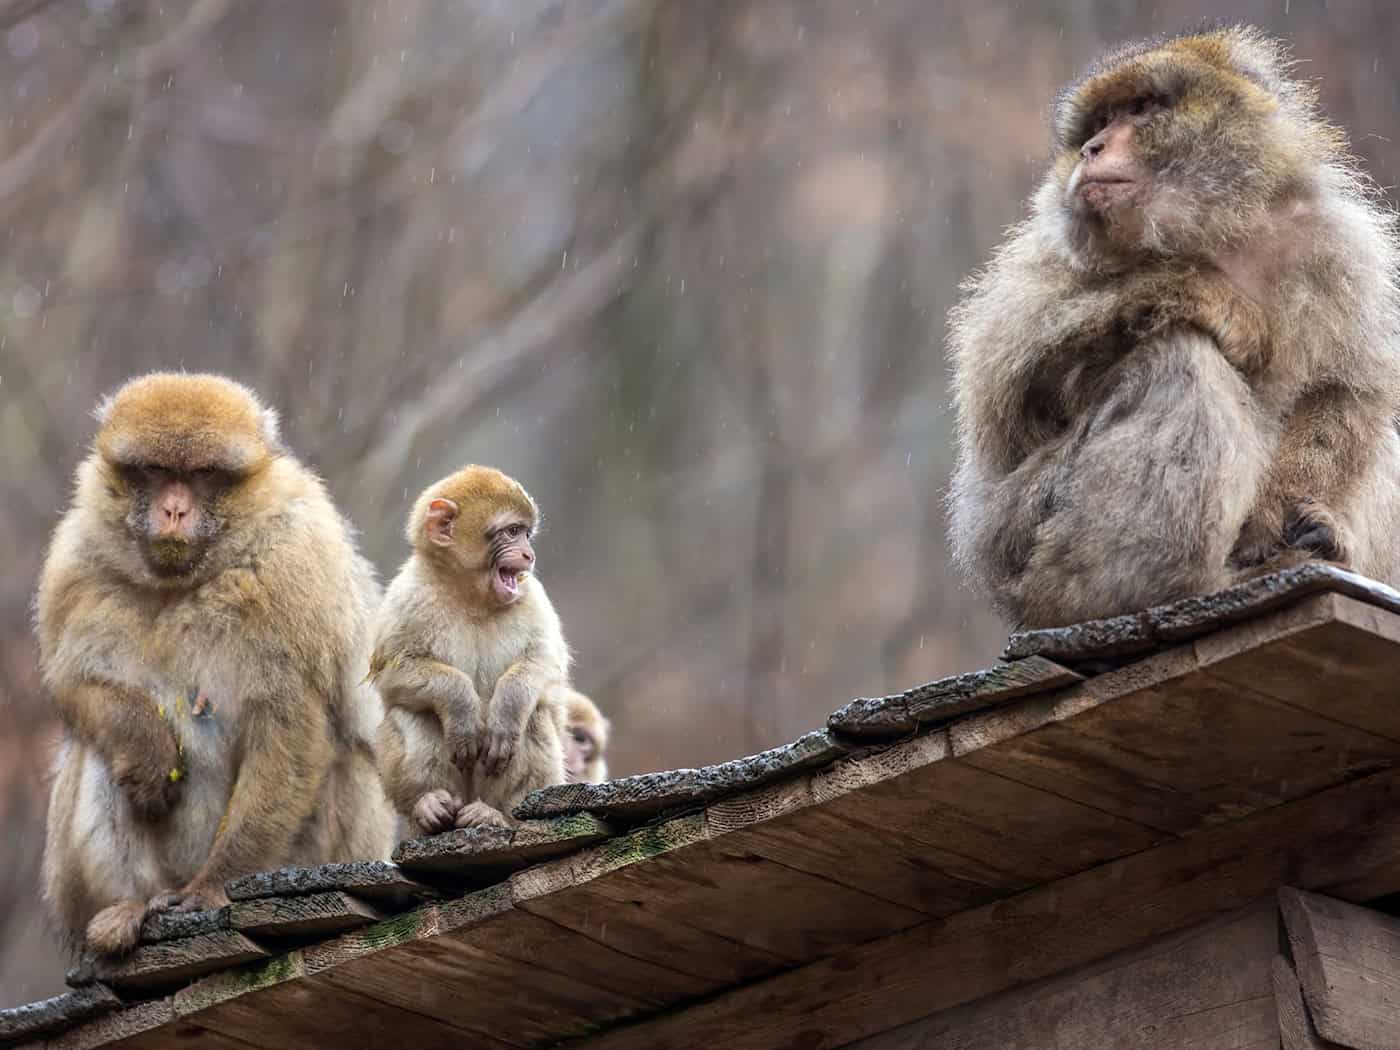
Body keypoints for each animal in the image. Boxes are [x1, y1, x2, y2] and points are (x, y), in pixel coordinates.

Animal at [36, 373, 395, 956]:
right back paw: (128, 906)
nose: (174, 511)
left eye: (203, 475)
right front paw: (145, 745)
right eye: (155, 471)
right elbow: (75, 684)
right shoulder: (75, 560)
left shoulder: (296, 563)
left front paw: (213, 887)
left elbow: (292, 722)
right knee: (97, 753)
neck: (183, 581)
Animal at [370, 465, 571, 836]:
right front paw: (460, 704)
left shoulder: (532, 595)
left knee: (535, 714)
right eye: (512, 532)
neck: (471, 596)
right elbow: (394, 671)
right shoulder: (407, 594)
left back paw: (496, 814)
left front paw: (507, 709)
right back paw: (429, 806)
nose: (528, 555)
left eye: (526, 534)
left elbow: (546, 664)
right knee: (411, 712)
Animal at [948, 26, 1400, 629]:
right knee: (1176, 358)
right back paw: (1144, 591)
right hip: (1018, 535)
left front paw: (1283, 518)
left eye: (1140, 108)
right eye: (1100, 121)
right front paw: (1220, 302)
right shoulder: (1048, 250)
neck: (1207, 229)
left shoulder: (1337, 243)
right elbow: (1008, 379)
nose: (1091, 149)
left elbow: (1345, 391)